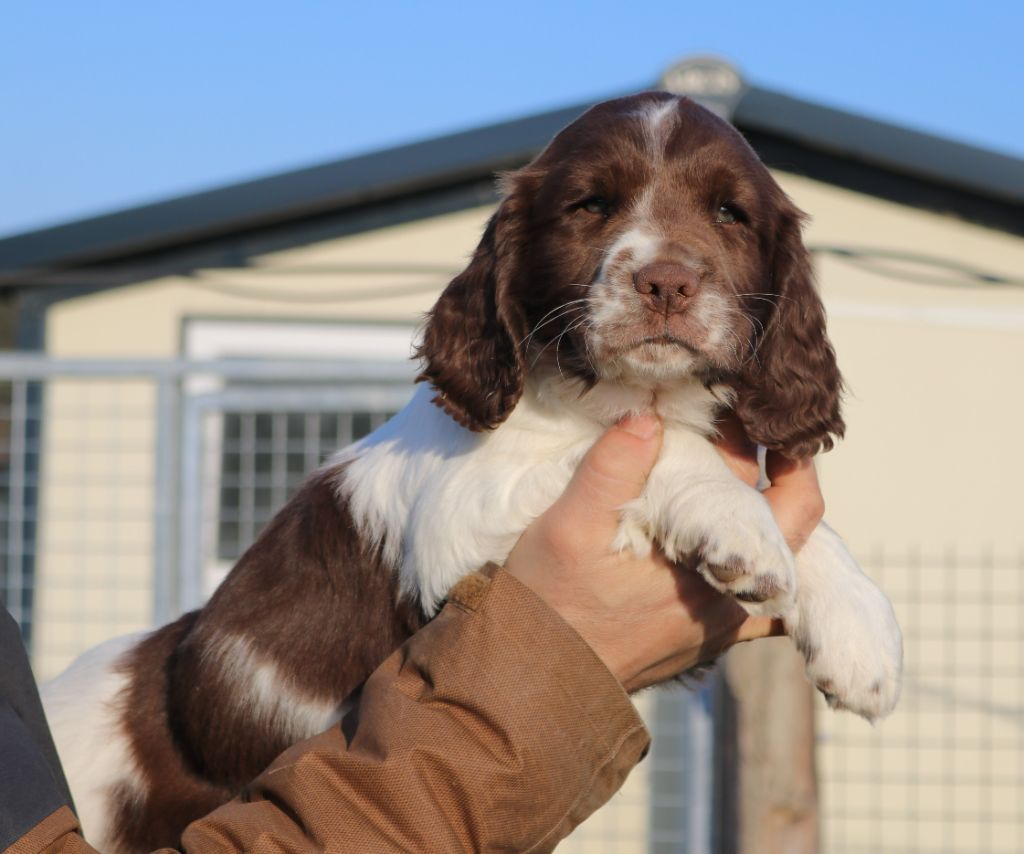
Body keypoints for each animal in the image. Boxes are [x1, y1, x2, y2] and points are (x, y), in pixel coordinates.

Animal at [44, 94, 901, 851]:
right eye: (590, 205)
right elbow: (656, 447)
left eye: (731, 214)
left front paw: (864, 638)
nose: (666, 283)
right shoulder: (461, 522)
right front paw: (738, 525)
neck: (628, 388)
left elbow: (809, 525)